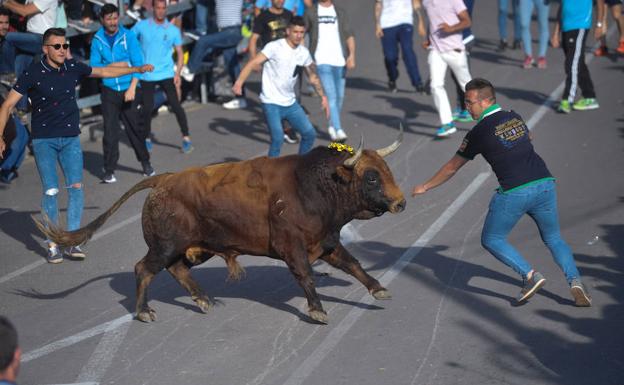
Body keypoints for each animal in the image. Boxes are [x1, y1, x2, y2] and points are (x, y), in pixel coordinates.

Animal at [35, 130, 404, 322]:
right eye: (372, 177)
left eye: (386, 170)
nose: (401, 202)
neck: (311, 185)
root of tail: (163, 180)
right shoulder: (293, 248)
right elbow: (306, 277)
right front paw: (317, 310)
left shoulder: (326, 242)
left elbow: (354, 265)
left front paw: (378, 289)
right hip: (164, 245)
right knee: (144, 268)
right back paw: (144, 312)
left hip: (196, 249)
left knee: (177, 269)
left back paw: (203, 301)